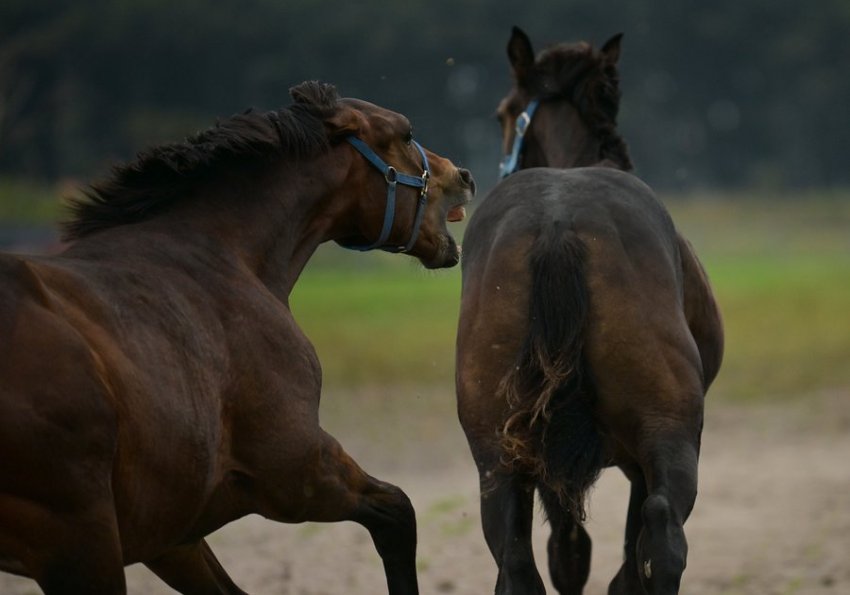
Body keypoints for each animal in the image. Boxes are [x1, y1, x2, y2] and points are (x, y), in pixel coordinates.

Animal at [0, 80, 474, 595]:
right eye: (406, 133)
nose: (464, 175)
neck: (226, 258)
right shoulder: (298, 473)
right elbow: (398, 512)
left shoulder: (172, 536)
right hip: (83, 545)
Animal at [458, 29, 724, 595]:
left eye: (502, 114)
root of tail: (558, 225)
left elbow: (570, 549)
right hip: (668, 432)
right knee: (659, 532)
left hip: (499, 456)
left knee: (517, 558)